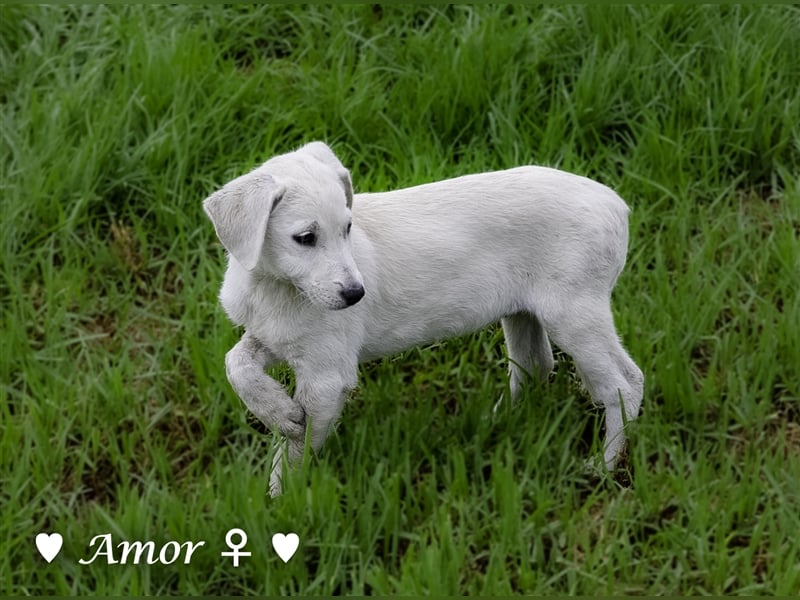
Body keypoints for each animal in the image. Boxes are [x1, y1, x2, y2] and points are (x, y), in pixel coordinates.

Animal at [205, 143, 644, 494]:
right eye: (305, 238)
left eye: (348, 228)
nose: (356, 295)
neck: (277, 286)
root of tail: (618, 205)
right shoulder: (273, 336)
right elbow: (234, 363)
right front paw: (278, 413)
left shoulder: (327, 374)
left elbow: (296, 450)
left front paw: (281, 503)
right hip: (525, 313)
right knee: (536, 365)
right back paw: (495, 425)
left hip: (574, 312)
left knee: (625, 384)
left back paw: (603, 468)